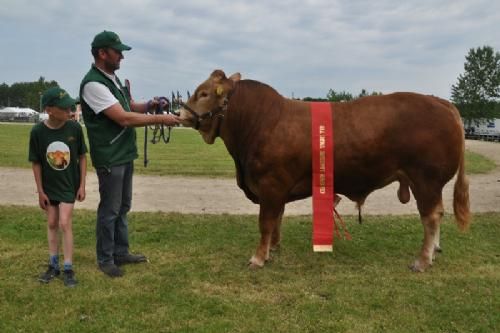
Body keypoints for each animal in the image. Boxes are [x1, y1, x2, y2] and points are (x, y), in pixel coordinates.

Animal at [179, 69, 468, 270]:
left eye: (204, 93)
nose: (181, 115)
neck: (260, 121)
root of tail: (442, 103)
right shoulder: (278, 189)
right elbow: (277, 220)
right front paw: (272, 249)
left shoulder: (271, 184)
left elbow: (266, 222)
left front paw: (258, 257)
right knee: (437, 213)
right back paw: (435, 250)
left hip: (426, 179)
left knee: (430, 216)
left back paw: (423, 260)